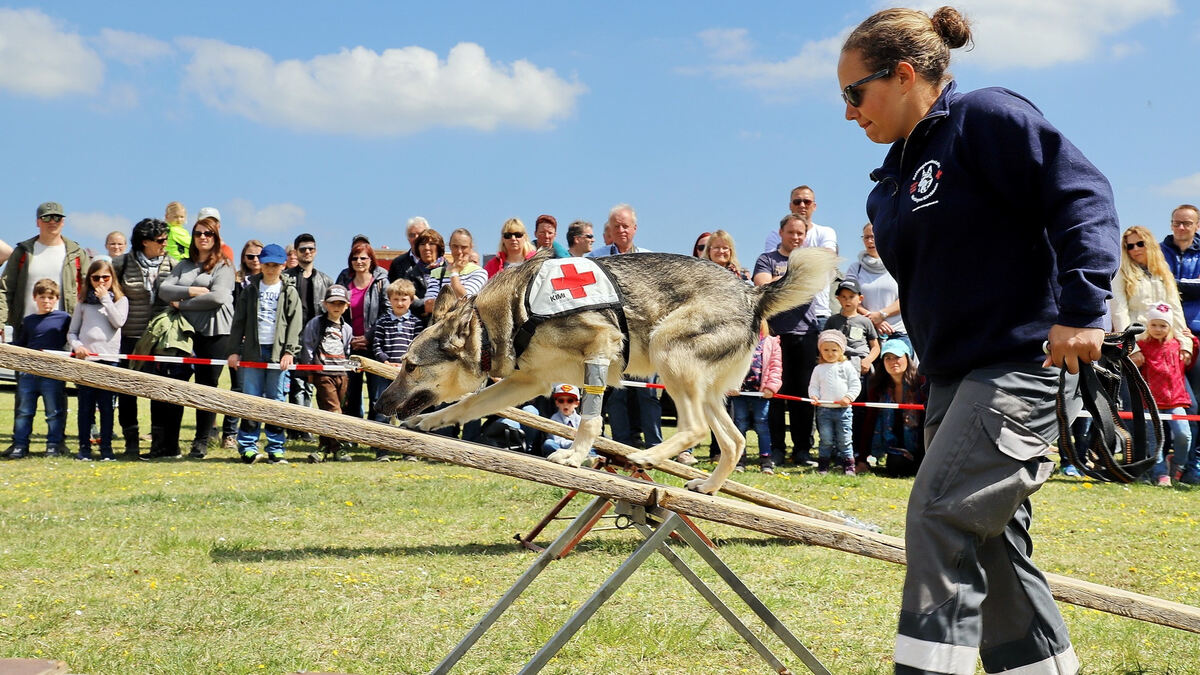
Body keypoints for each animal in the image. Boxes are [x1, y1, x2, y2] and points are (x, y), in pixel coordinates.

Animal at [374, 243, 835, 492]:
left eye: (411, 367)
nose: (379, 405)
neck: (501, 320)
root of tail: (753, 294)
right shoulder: (529, 380)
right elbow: (468, 405)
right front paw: (429, 423)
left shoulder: (599, 346)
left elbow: (589, 419)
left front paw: (576, 457)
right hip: (705, 390)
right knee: (735, 441)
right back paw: (706, 486)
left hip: (668, 354)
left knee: (693, 429)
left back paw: (645, 456)